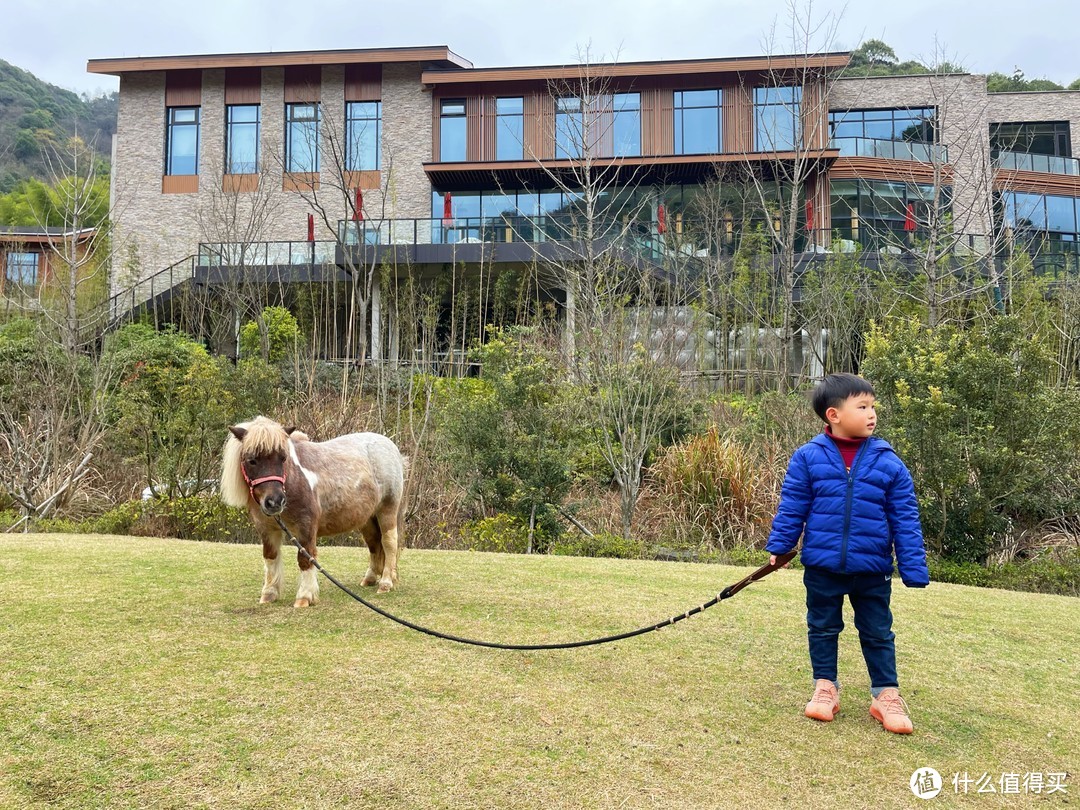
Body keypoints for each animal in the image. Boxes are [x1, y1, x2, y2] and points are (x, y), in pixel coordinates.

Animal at [221, 419, 406, 609]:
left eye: (283, 458)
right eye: (252, 461)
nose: (275, 502)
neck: (293, 479)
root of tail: (390, 446)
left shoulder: (306, 526)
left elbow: (305, 558)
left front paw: (305, 597)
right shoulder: (266, 529)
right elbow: (270, 557)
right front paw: (269, 594)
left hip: (387, 511)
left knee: (389, 543)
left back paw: (385, 583)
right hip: (367, 519)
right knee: (374, 544)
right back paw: (369, 579)